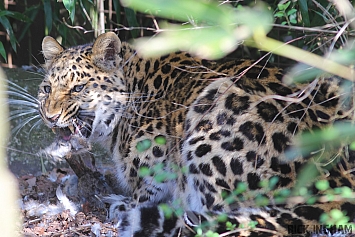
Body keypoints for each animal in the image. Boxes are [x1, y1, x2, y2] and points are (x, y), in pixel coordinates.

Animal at [38, 32, 355, 236]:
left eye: (79, 88)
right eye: (46, 89)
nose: (50, 118)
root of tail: (335, 179)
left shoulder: (156, 163)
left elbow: (146, 193)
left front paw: (123, 205)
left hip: (212, 110)